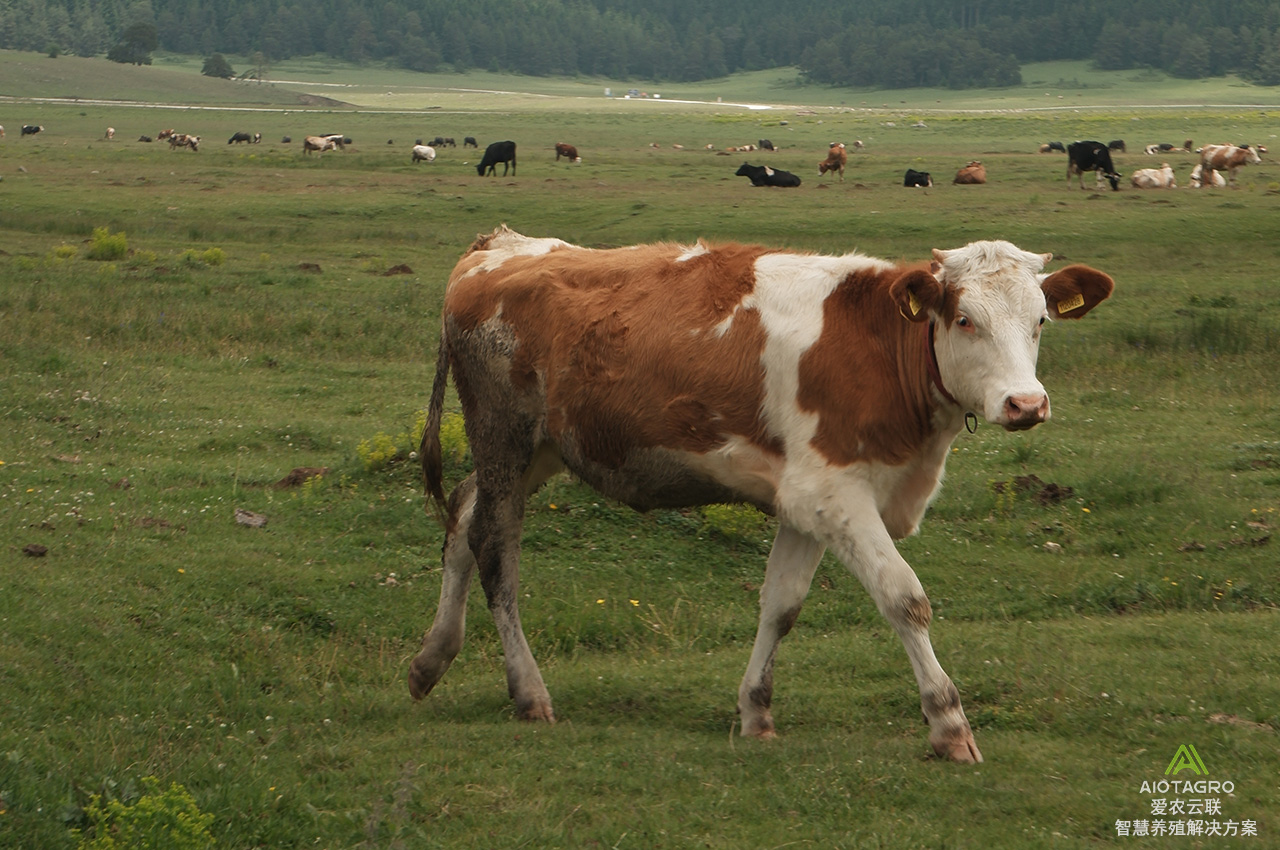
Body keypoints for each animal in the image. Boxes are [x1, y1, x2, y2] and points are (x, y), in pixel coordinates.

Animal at [409, 227, 1111, 762]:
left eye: (1040, 321)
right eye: (965, 319)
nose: (1025, 404)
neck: (879, 347)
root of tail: (499, 247)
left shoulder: (806, 500)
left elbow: (781, 605)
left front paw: (756, 711)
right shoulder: (836, 492)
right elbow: (905, 599)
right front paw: (948, 725)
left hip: (540, 448)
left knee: (464, 519)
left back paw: (430, 659)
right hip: (503, 435)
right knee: (495, 550)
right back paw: (529, 693)